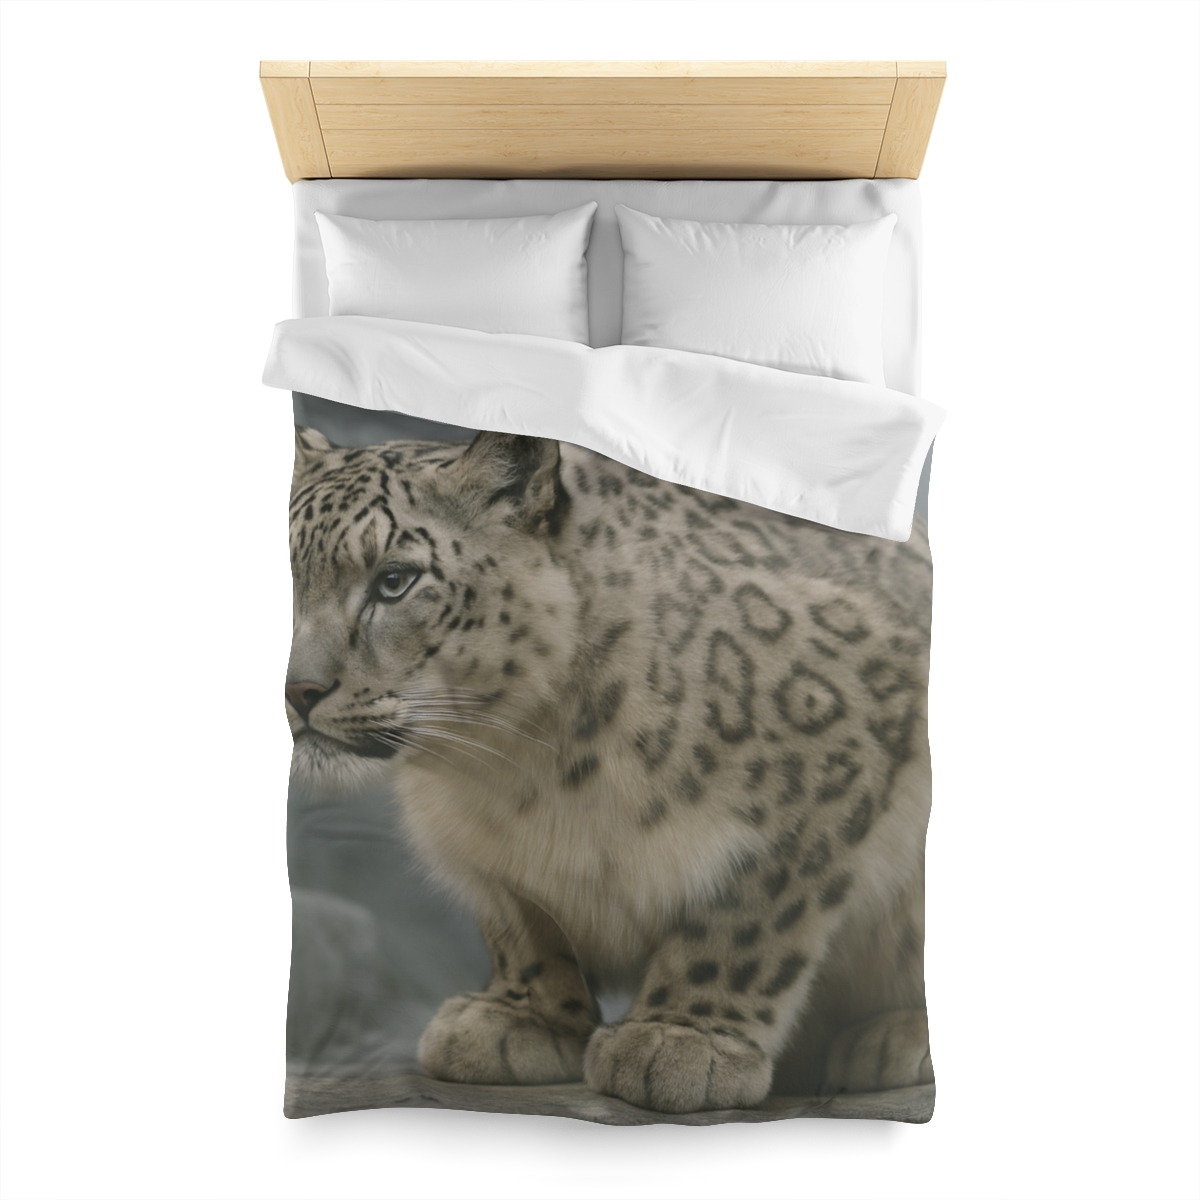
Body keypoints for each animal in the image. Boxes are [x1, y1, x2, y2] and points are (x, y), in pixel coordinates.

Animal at [286, 425, 934, 1114]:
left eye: (394, 581)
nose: (299, 690)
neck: (515, 770)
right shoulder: (490, 857)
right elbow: (522, 927)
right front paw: (520, 1019)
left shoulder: (826, 770)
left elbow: (747, 918)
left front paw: (679, 1040)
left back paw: (896, 1039)